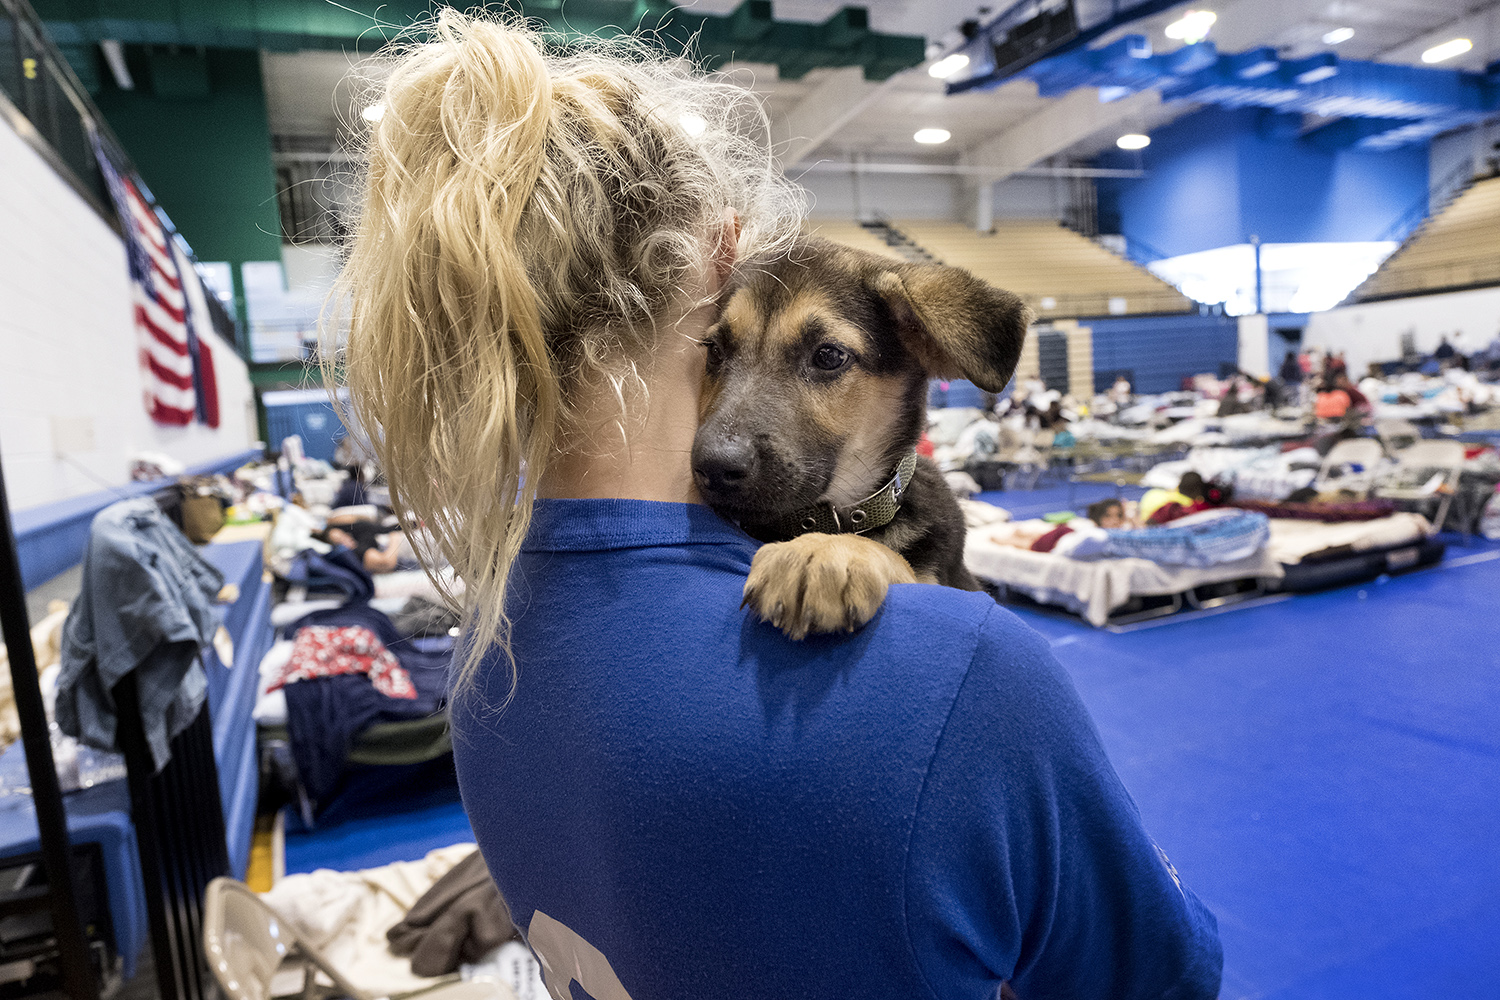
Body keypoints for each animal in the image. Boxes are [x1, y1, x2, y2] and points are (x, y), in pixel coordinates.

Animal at [693, 238, 1032, 638]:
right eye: (715, 351)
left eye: (829, 355)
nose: (713, 467)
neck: (839, 515)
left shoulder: (955, 581)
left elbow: (898, 560)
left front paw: (827, 551)